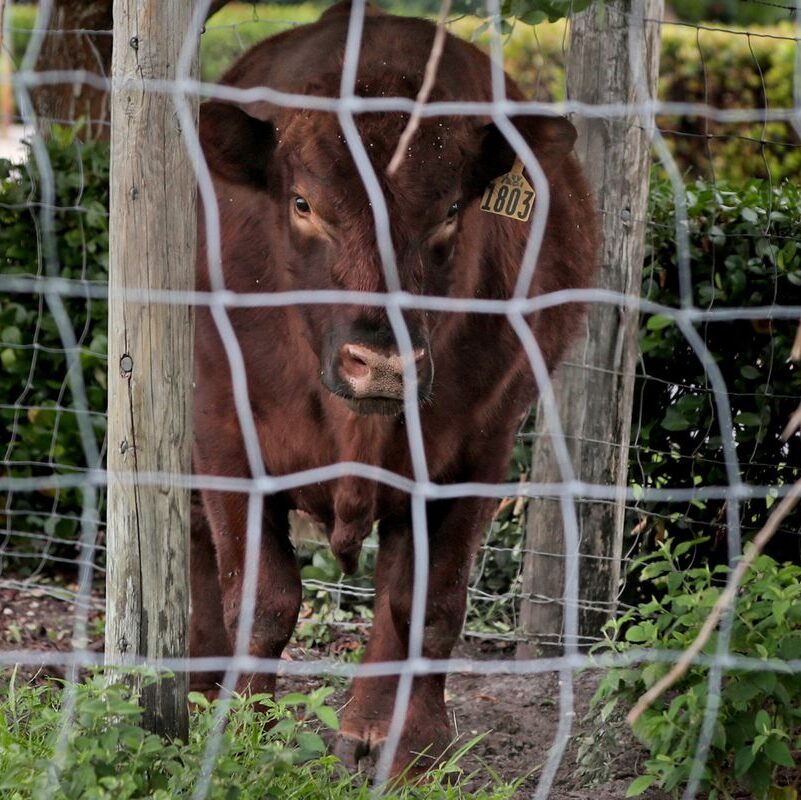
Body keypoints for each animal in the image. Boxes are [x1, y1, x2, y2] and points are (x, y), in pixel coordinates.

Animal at [191, 0, 596, 776]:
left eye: (450, 212)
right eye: (302, 203)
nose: (382, 363)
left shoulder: (477, 449)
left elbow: (424, 604)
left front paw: (407, 741)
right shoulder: (224, 432)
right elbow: (260, 598)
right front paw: (241, 728)